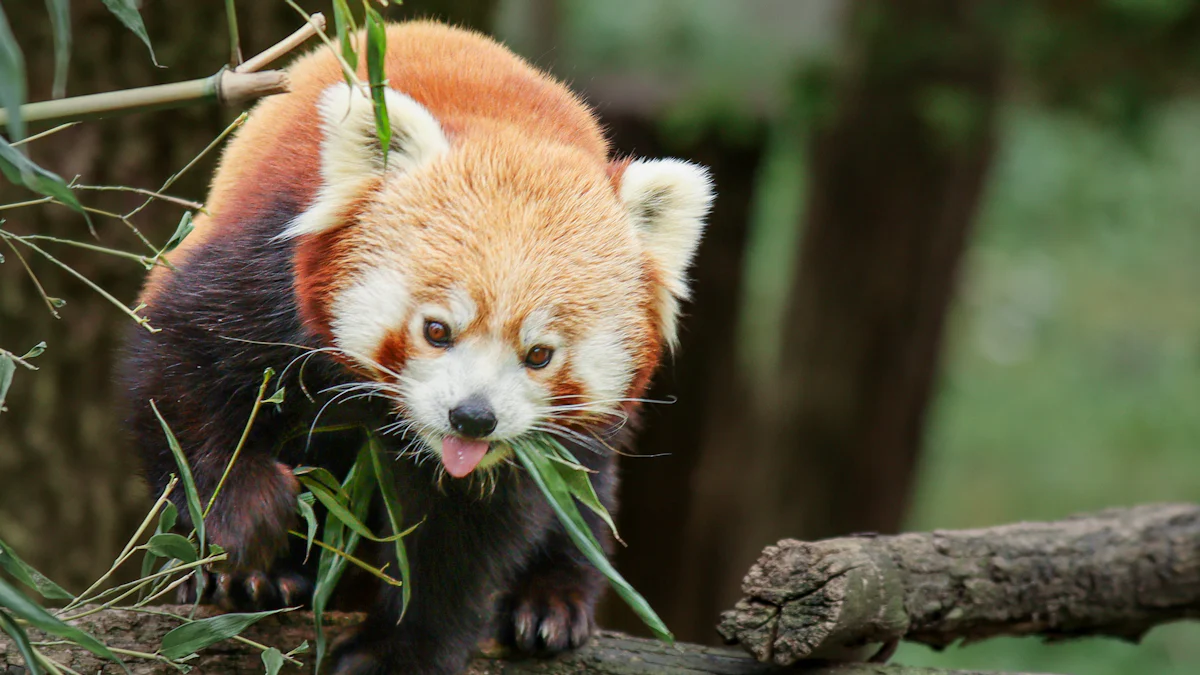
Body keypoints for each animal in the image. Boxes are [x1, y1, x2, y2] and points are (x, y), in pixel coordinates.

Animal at [120, 19, 705, 672]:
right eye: (436, 330)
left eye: (539, 354)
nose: (473, 417)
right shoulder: (262, 268)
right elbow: (179, 375)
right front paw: (242, 516)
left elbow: (465, 537)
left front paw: (404, 648)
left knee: (585, 491)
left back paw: (552, 600)